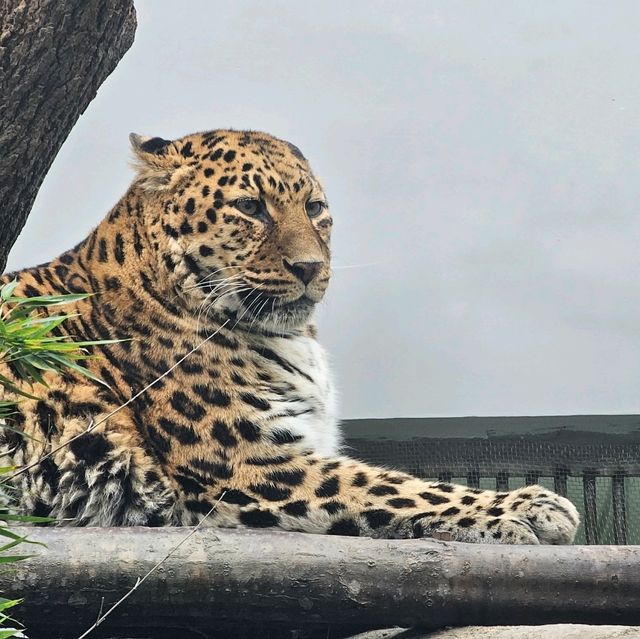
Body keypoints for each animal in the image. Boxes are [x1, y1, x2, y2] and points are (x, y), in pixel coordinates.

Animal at [0, 130, 580, 544]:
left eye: (316, 209)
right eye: (250, 208)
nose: (310, 268)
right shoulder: (249, 464)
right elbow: (391, 486)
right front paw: (532, 506)